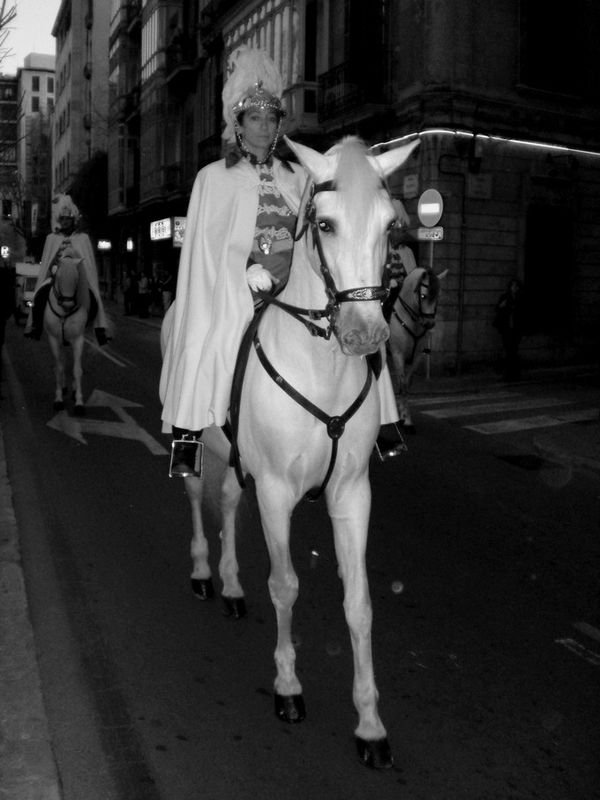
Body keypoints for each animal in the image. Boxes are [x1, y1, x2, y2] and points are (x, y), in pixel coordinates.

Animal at [43, 254, 91, 414]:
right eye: (58, 277)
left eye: (77, 278)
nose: (68, 303)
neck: (64, 312)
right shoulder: (53, 339)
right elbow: (59, 368)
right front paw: (58, 400)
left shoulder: (78, 339)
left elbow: (77, 370)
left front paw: (79, 402)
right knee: (61, 362)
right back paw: (63, 387)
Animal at [166, 135, 420, 768]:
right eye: (324, 223)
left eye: (390, 225)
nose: (365, 336)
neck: (320, 366)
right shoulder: (279, 492)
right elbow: (286, 586)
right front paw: (288, 688)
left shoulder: (352, 493)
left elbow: (359, 603)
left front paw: (370, 725)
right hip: (195, 439)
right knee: (197, 495)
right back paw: (204, 571)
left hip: (239, 461)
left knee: (229, 499)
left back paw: (232, 586)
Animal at [387, 265, 447, 431]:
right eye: (423, 296)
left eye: (438, 296)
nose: (429, 324)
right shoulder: (398, 355)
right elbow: (402, 384)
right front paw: (405, 419)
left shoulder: (417, 357)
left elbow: (407, 384)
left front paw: (404, 417)